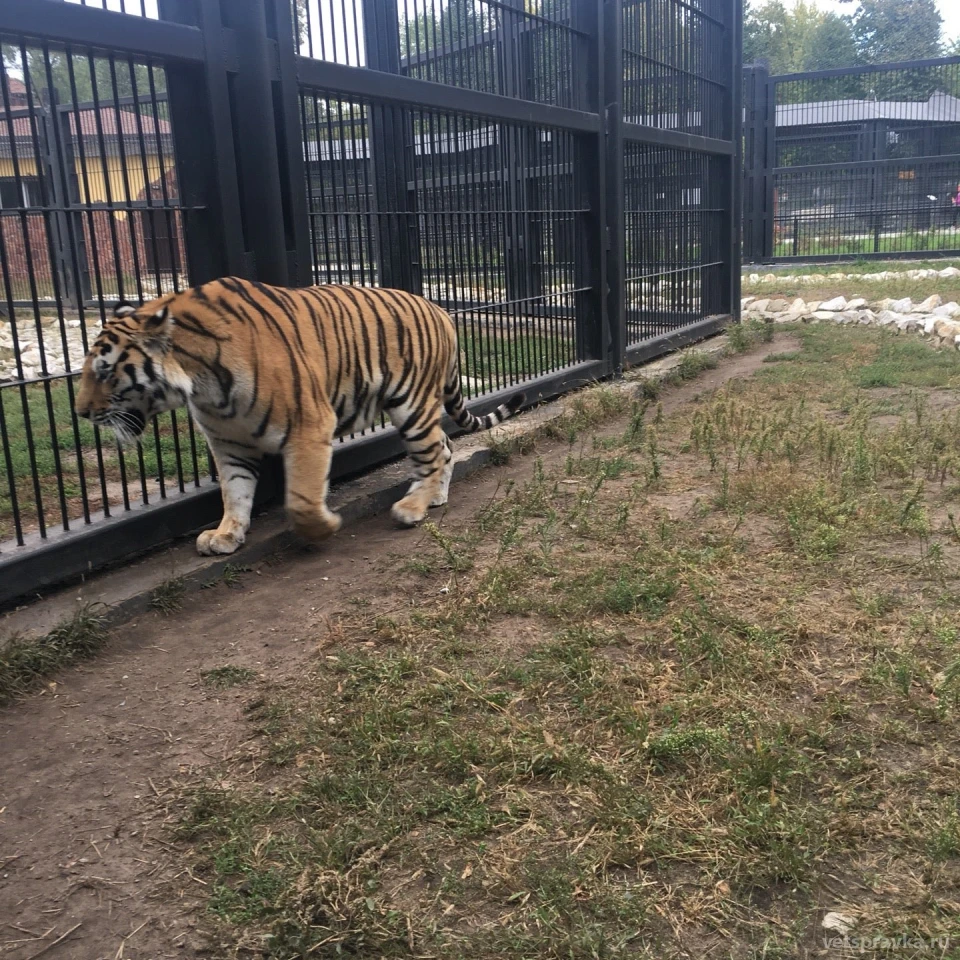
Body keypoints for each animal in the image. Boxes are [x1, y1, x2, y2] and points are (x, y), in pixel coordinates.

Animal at [75, 278, 524, 556]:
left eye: (104, 371)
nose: (81, 412)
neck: (200, 383)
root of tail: (441, 310)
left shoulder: (310, 427)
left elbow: (302, 500)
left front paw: (324, 528)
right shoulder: (229, 442)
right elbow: (234, 494)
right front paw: (226, 535)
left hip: (410, 403)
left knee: (435, 453)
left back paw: (412, 508)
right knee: (444, 447)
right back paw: (433, 498)